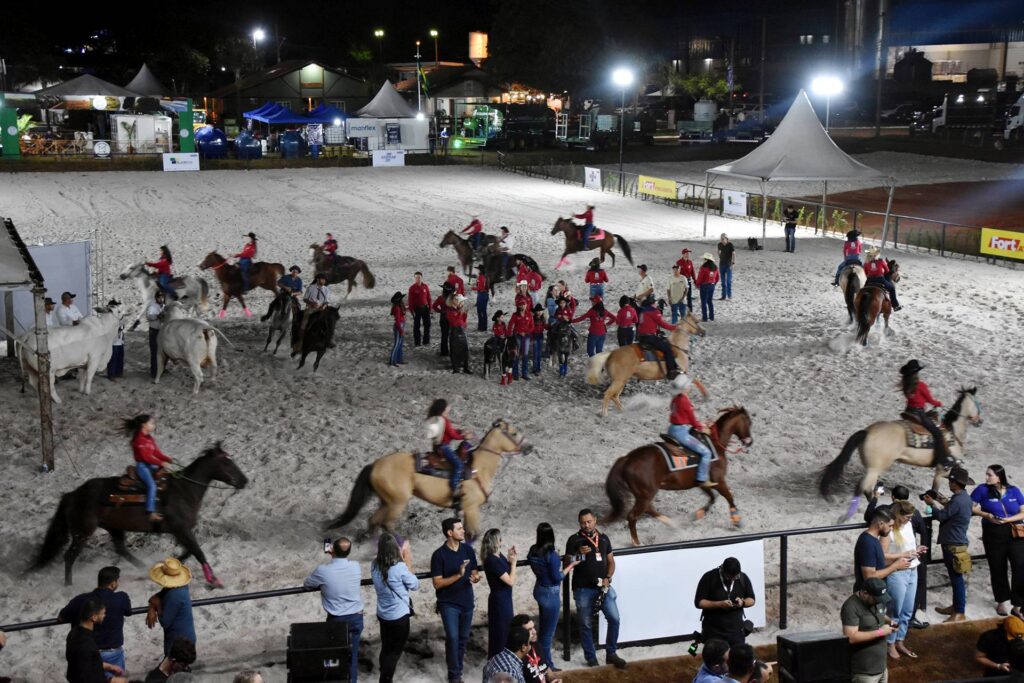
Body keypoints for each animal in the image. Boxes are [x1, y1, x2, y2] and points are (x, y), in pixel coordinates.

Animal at [30, 444, 247, 589]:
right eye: (226, 463)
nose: (244, 480)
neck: (184, 490)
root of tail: (72, 495)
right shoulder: (181, 529)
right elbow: (198, 552)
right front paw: (214, 581)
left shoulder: (180, 532)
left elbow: (187, 553)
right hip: (82, 532)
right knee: (70, 556)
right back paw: (69, 586)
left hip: (113, 527)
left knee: (120, 549)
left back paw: (141, 567)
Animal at [323, 419, 532, 540]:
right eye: (514, 433)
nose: (530, 447)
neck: (478, 468)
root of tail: (375, 464)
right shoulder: (472, 509)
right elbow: (474, 534)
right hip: (397, 502)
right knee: (387, 524)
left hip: (386, 501)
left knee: (374, 520)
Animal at [602, 405, 757, 544]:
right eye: (748, 422)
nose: (749, 442)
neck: (715, 445)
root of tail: (627, 458)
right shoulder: (719, 481)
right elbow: (729, 497)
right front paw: (737, 521)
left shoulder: (702, 482)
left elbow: (712, 498)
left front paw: (697, 515)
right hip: (646, 494)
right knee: (633, 516)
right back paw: (637, 543)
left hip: (644, 494)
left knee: (649, 509)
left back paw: (672, 524)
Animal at [819, 385, 978, 524]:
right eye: (977, 404)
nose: (979, 421)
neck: (952, 432)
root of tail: (867, 432)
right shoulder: (942, 469)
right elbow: (936, 488)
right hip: (875, 469)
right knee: (863, 487)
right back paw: (850, 515)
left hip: (872, 469)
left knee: (868, 489)